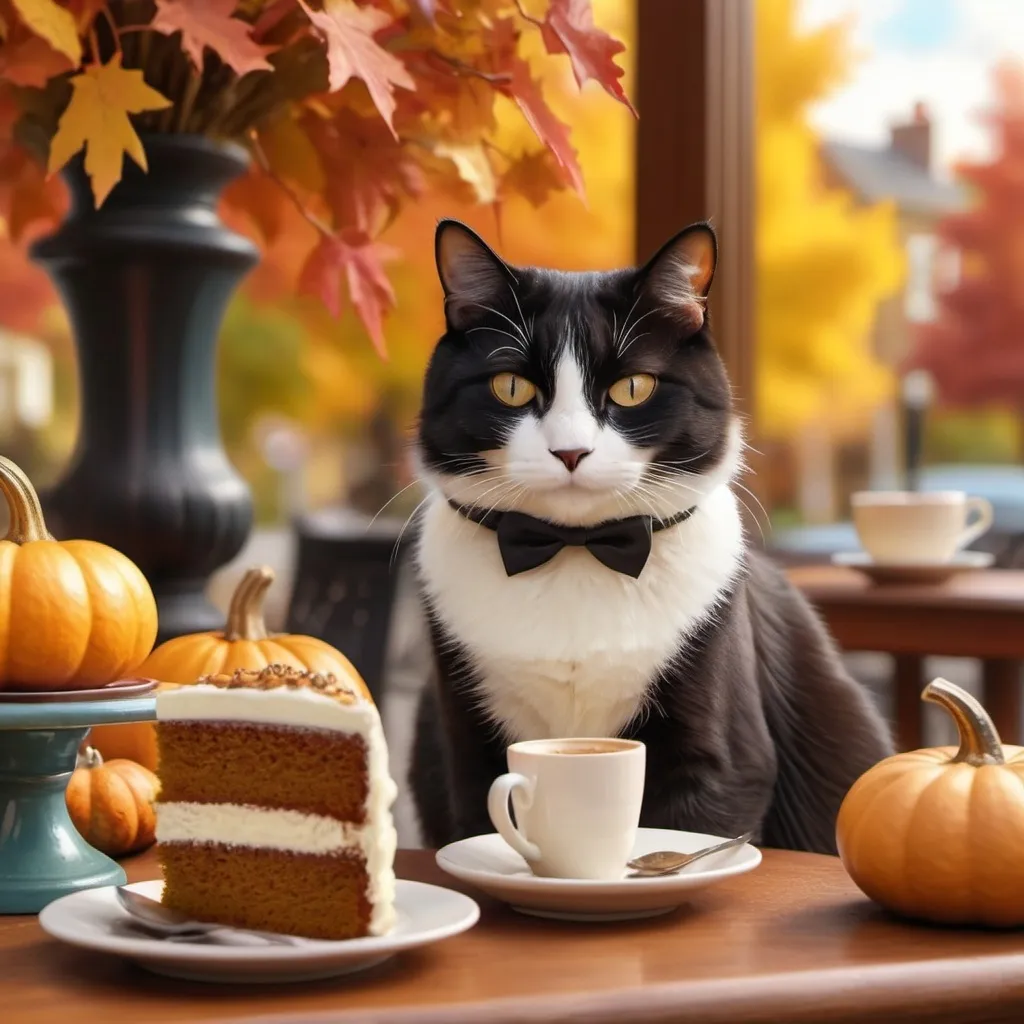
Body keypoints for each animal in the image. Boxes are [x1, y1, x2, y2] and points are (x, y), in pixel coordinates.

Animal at [407, 220, 897, 851]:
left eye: (633, 388)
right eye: (510, 387)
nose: (571, 452)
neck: (576, 552)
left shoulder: (719, 762)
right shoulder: (467, 750)